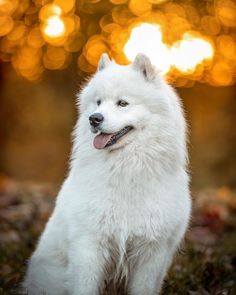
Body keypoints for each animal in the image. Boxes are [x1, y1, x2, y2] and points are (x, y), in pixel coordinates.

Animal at [22, 53, 192, 295]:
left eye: (122, 103)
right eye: (98, 102)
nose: (94, 118)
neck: (127, 169)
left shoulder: (152, 251)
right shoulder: (89, 245)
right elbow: (85, 287)